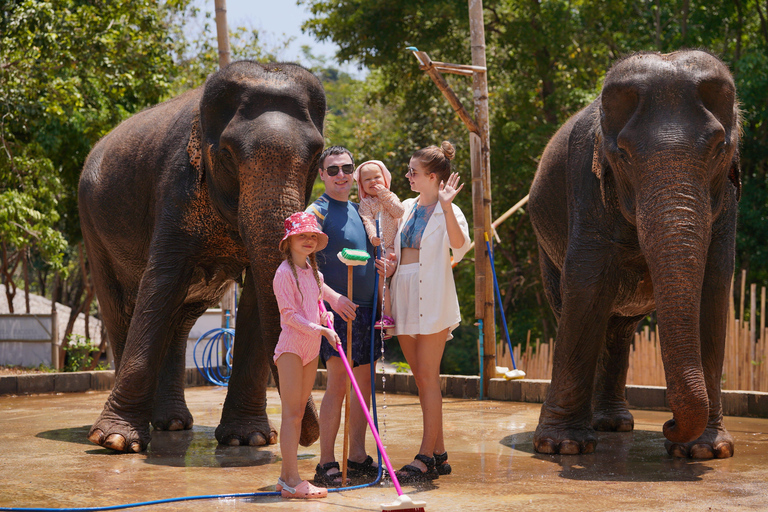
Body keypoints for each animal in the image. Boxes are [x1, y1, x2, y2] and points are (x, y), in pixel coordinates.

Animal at [79, 61, 326, 452]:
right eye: (227, 154)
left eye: (317, 154)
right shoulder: (176, 188)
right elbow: (161, 282)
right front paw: (116, 441)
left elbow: (257, 292)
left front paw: (249, 439)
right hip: (92, 224)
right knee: (121, 310)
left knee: (179, 321)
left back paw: (172, 424)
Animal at [528, 51, 736, 460]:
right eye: (622, 155)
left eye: (720, 148)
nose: (668, 425)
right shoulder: (585, 181)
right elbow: (586, 284)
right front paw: (562, 447)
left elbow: (714, 288)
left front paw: (705, 451)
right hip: (545, 249)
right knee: (572, 307)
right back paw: (599, 426)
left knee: (619, 330)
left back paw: (614, 424)